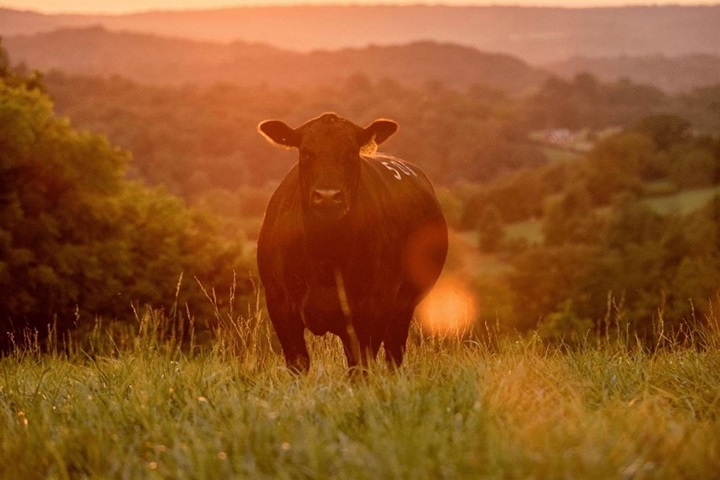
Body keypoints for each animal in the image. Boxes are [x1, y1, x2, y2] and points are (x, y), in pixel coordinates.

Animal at [256, 113, 447, 373]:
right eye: (306, 153)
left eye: (349, 153)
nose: (327, 196)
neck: (325, 256)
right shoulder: (280, 306)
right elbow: (298, 363)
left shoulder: (373, 309)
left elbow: (360, 365)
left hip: (404, 306)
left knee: (394, 353)